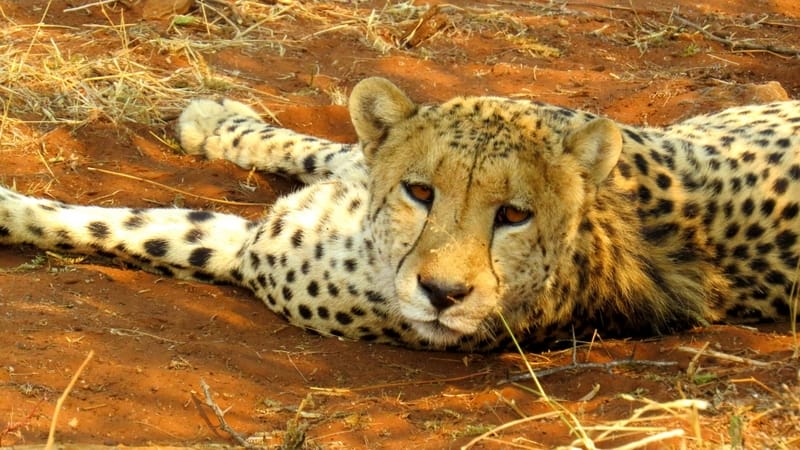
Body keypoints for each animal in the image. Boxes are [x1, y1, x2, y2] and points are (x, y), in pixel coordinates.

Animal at [1, 77, 799, 352]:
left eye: (515, 215)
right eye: (421, 193)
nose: (444, 295)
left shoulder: (249, 245)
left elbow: (126, 227)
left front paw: (12, 211)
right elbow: (334, 144)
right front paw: (220, 121)